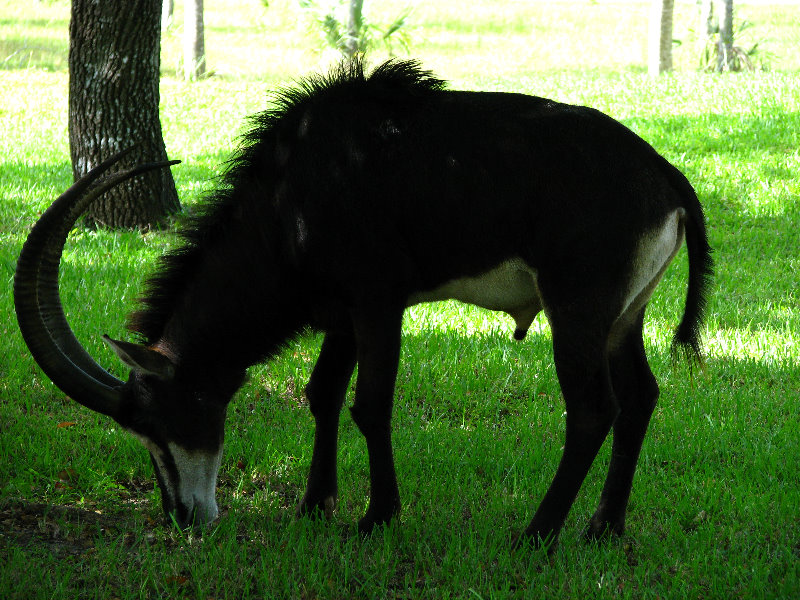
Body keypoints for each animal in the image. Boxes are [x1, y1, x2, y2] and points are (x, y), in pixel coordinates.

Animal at [14, 58, 712, 548]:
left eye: (157, 420)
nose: (184, 518)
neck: (290, 196)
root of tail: (665, 176)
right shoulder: (343, 315)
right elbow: (322, 394)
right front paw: (313, 505)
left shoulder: (378, 304)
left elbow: (370, 405)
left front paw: (377, 517)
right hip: (623, 319)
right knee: (641, 397)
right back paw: (603, 528)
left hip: (577, 312)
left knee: (594, 409)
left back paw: (537, 535)